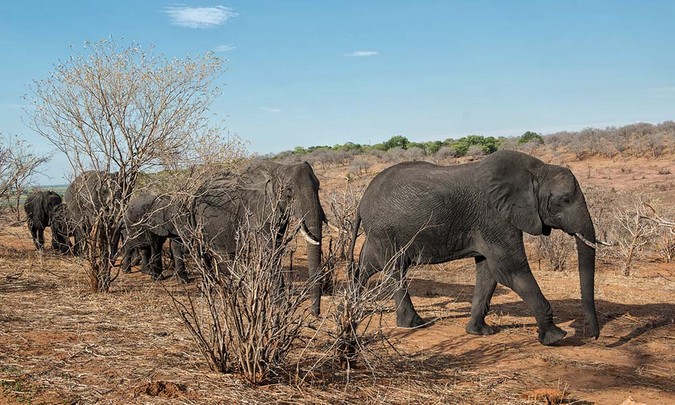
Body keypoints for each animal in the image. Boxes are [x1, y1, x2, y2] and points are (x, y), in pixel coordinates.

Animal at [352, 150, 600, 346]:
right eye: (564, 200)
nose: (594, 336)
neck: (536, 170)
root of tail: (362, 200)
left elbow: (489, 272)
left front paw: (480, 332)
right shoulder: (494, 216)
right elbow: (510, 271)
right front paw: (556, 337)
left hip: (380, 232)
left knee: (368, 265)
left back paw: (355, 306)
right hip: (386, 230)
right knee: (395, 270)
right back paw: (413, 324)